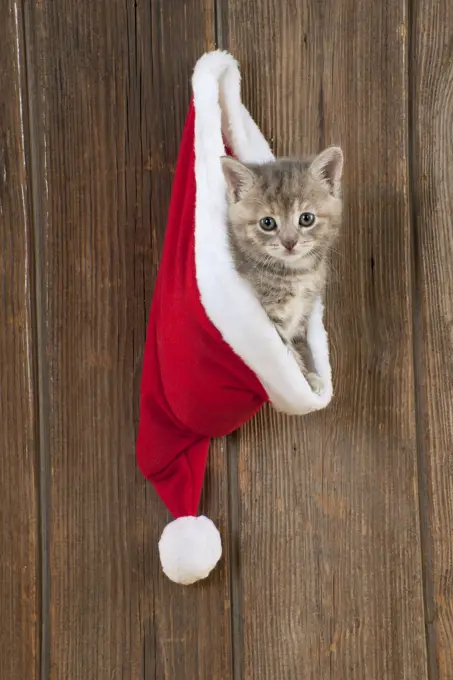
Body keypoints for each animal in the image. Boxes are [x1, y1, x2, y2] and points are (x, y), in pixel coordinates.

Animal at [220, 149, 342, 394]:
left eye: (306, 218)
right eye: (267, 223)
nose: (289, 242)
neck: (296, 273)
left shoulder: (304, 312)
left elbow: (299, 344)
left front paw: (312, 376)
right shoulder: (270, 319)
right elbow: (289, 355)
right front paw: (305, 380)